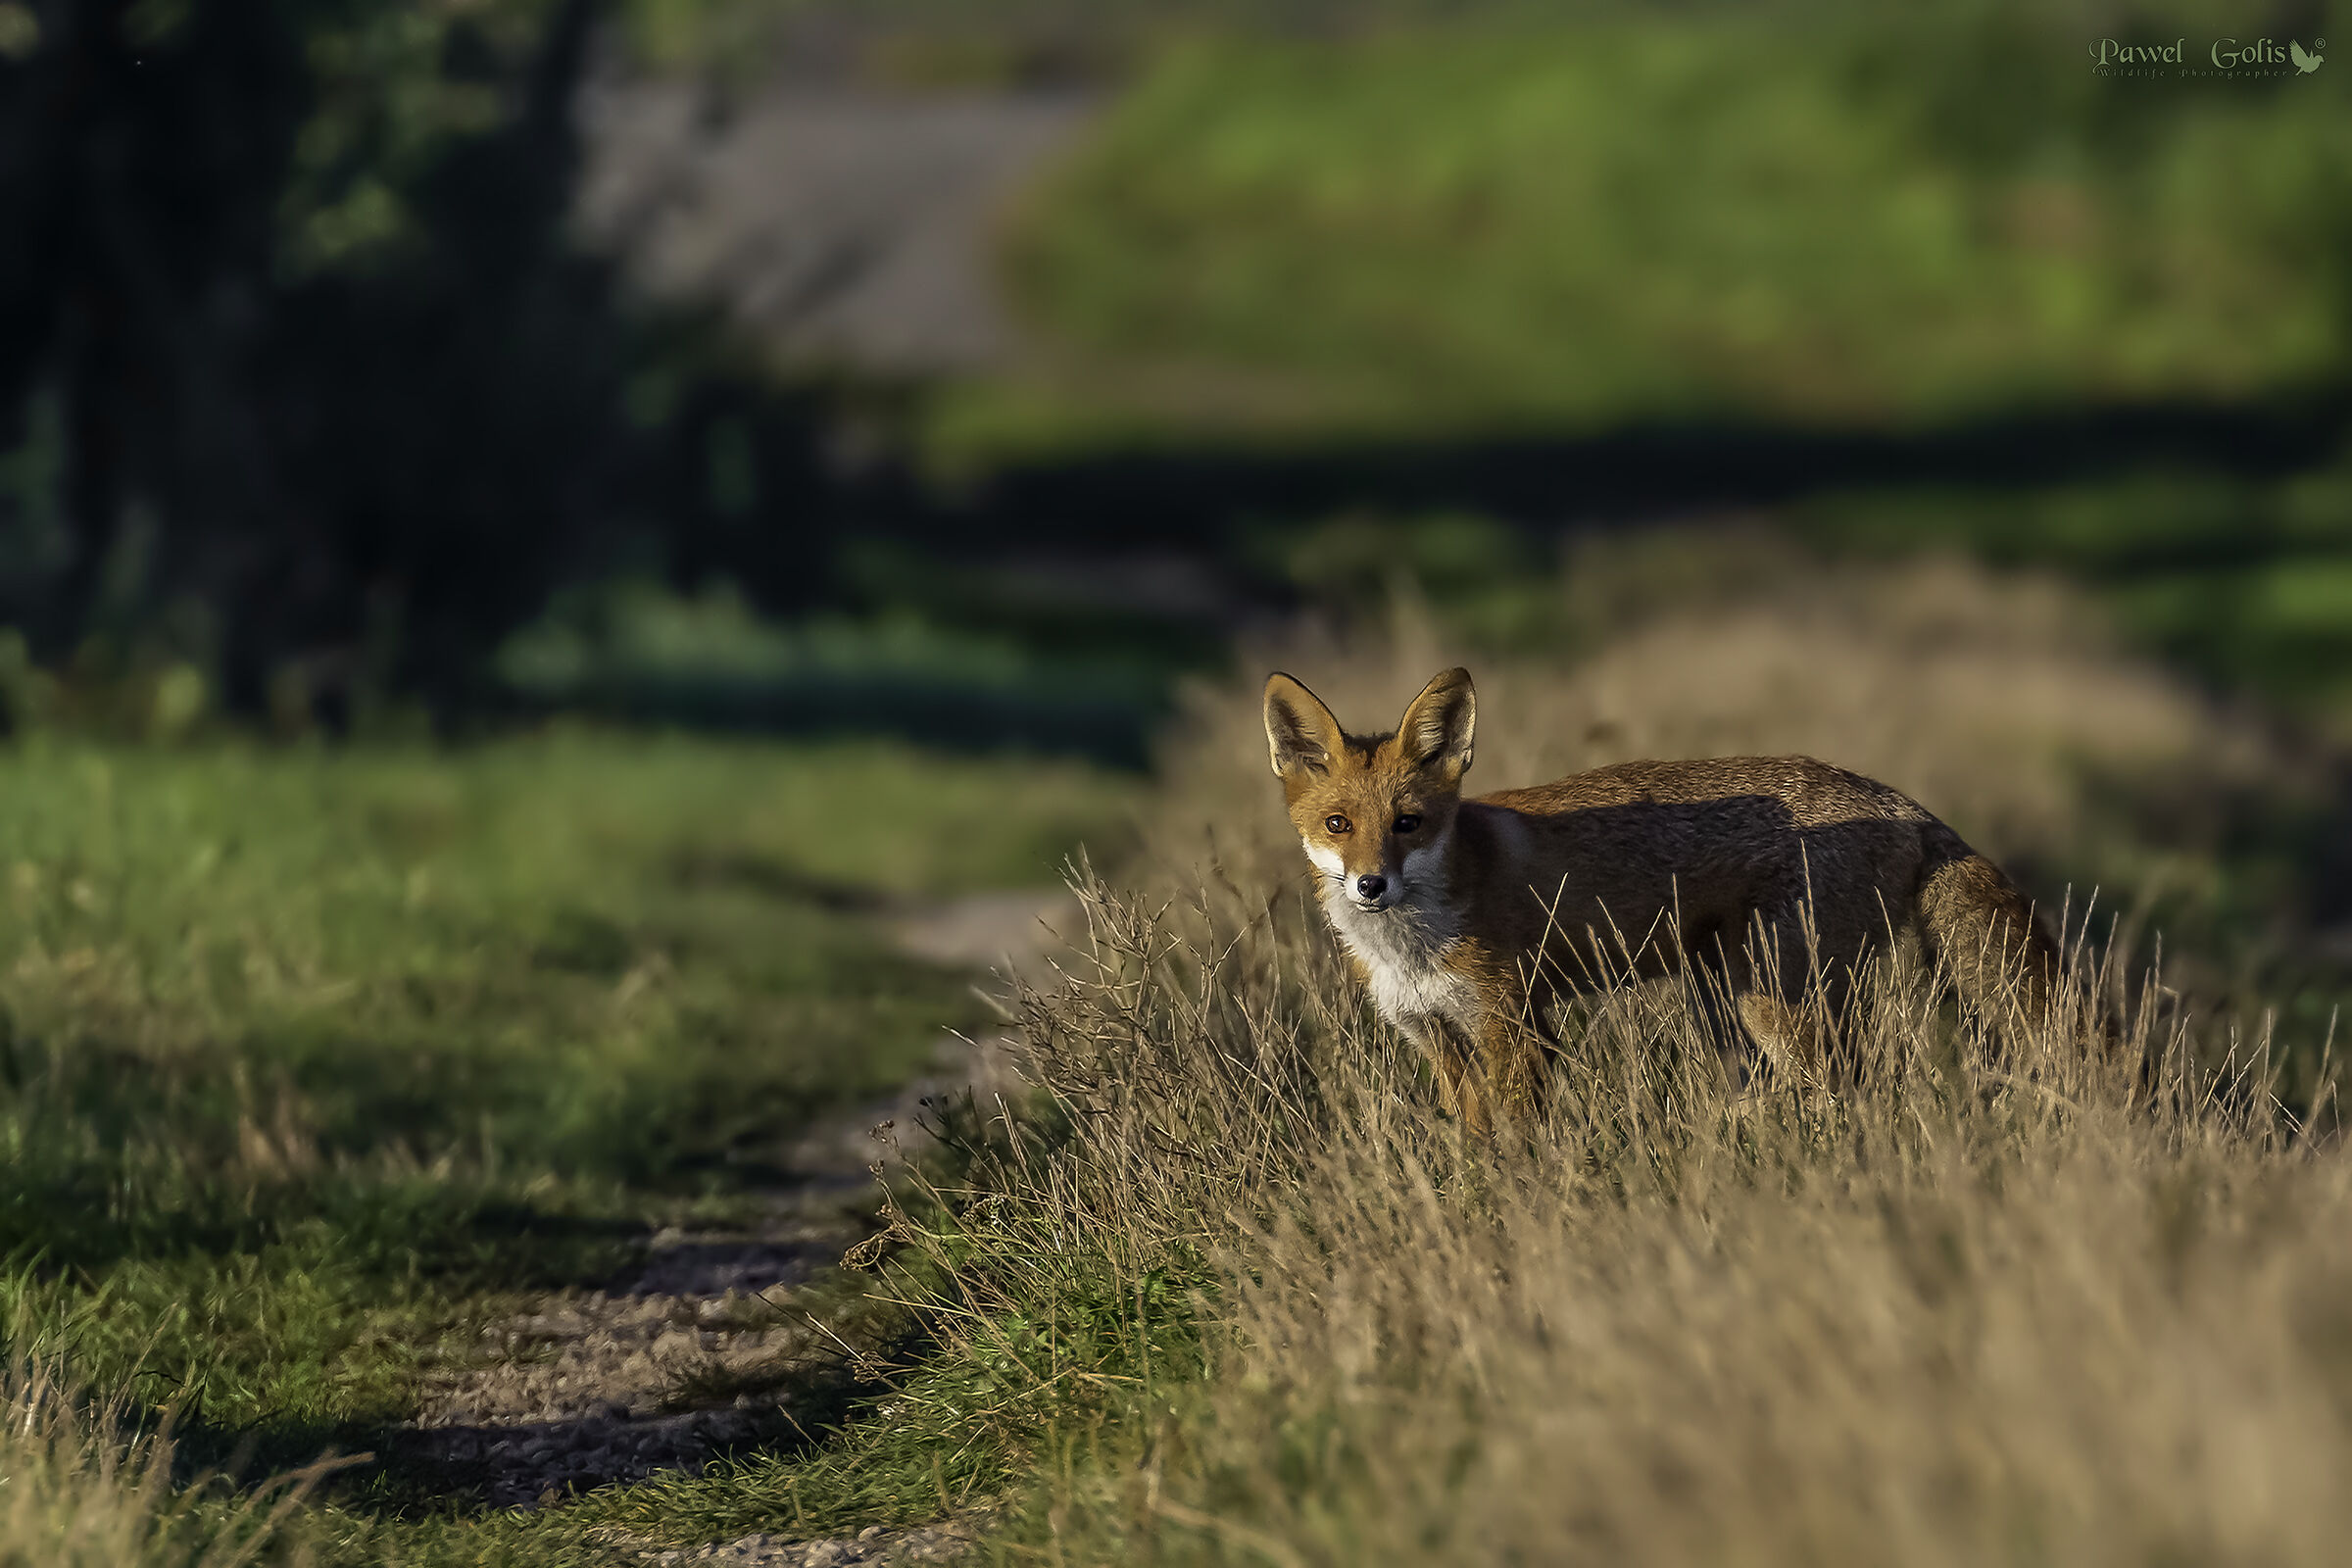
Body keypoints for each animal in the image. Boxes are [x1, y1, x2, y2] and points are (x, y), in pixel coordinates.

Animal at [1264, 666, 2080, 1133]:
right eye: (1338, 825)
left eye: (1409, 823)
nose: (1372, 885)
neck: (1413, 948)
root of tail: (1895, 799)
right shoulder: (1438, 1039)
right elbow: (1474, 1147)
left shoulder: (1517, 1028)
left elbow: (1516, 1149)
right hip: (1728, 1001)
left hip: (1777, 1000)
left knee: (1861, 1092)